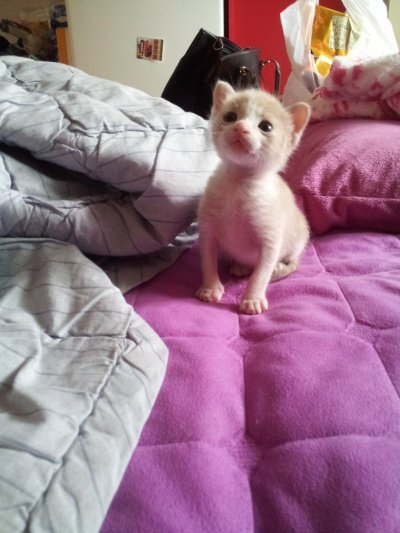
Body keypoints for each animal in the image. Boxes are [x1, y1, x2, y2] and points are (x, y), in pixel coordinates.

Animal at [196, 80, 311, 315]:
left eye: (266, 127)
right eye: (230, 116)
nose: (241, 127)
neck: (239, 184)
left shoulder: (271, 239)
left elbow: (261, 273)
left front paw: (252, 298)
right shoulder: (207, 228)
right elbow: (208, 260)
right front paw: (210, 287)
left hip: (299, 239)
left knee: (290, 261)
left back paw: (278, 266)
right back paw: (240, 266)